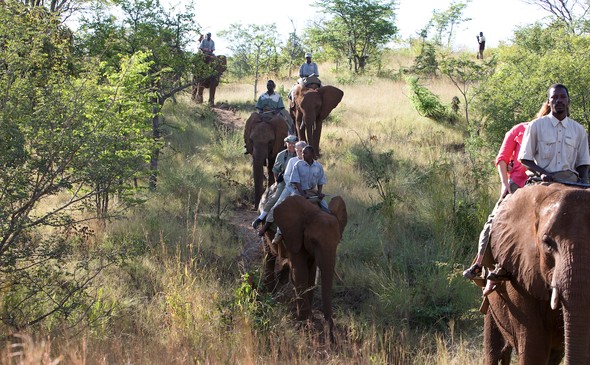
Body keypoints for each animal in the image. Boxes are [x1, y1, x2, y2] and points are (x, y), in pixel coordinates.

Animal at [272, 195, 346, 340]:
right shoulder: (294, 235)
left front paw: (309, 319)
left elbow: (311, 274)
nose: (331, 337)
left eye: (338, 242)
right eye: (313, 241)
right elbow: (300, 272)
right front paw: (302, 325)